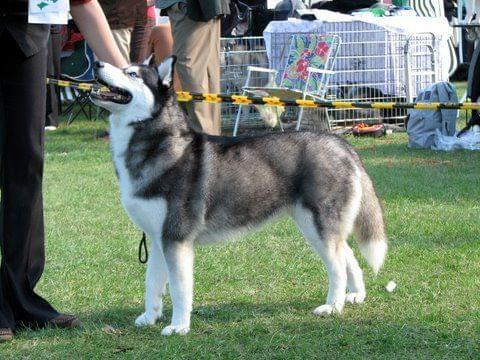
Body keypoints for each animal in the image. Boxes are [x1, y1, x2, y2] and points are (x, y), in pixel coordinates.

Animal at [92, 56, 388, 334]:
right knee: (348, 255)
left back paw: (333, 306)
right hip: (315, 225)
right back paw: (356, 295)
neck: (160, 145)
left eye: (132, 73)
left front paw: (179, 326)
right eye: (123, 67)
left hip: (318, 224)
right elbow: (152, 284)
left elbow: (179, 289)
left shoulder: (176, 238)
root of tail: (340, 143)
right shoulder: (157, 238)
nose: (96, 63)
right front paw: (150, 317)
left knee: (337, 265)